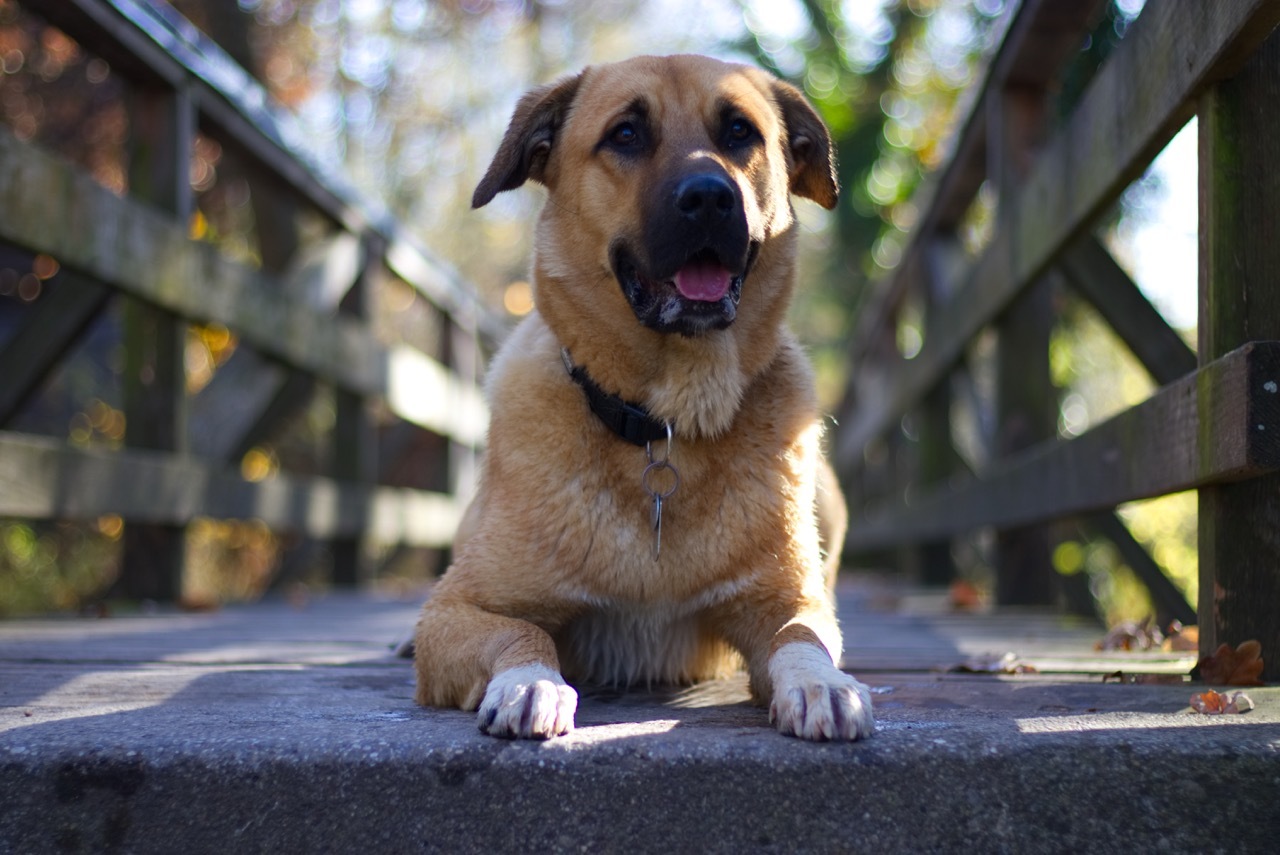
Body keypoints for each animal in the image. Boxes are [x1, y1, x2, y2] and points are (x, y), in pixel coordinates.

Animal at [413, 54, 874, 742]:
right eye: (626, 135)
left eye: (739, 131)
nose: (710, 198)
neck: (668, 419)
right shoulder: (454, 609)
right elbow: (520, 633)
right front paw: (531, 681)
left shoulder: (788, 601)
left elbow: (802, 637)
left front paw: (823, 683)